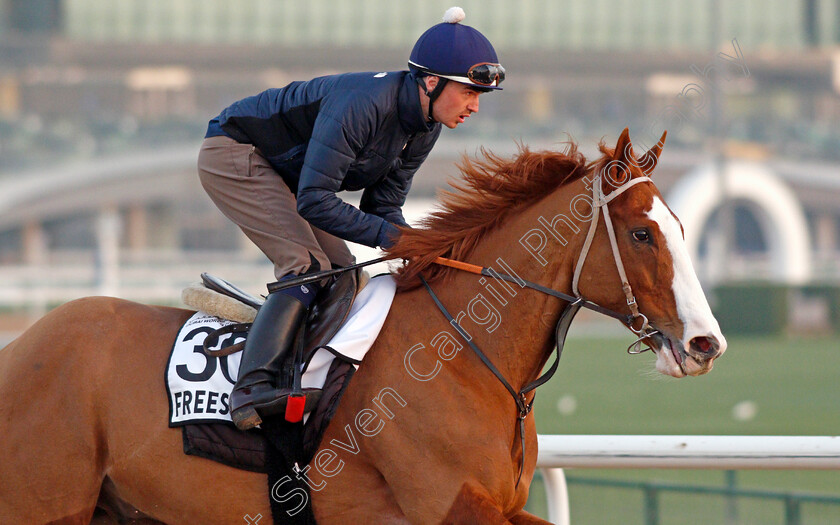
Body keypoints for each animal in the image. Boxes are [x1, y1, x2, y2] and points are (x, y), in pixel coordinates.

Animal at [0, 128, 720, 524]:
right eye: (642, 233)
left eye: (685, 228)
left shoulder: (505, 505)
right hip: (45, 504)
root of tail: (20, 344)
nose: (705, 342)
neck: (465, 355)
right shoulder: (451, 506)